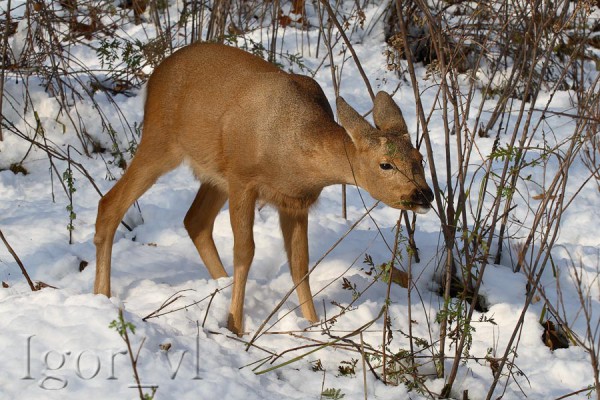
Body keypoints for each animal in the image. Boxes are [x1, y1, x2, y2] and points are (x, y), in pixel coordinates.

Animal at [92, 42, 432, 334]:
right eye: (385, 165)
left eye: (420, 158)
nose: (424, 195)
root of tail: (155, 75)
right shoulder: (244, 180)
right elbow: (245, 251)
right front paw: (236, 326)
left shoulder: (294, 201)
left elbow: (300, 264)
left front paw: (312, 325)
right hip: (161, 140)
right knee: (110, 204)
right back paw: (101, 297)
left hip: (215, 173)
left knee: (195, 220)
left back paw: (220, 286)